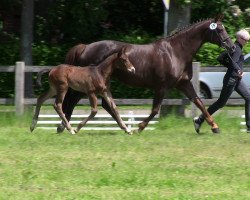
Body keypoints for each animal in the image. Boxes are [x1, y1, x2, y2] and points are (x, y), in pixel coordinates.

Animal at [60, 14, 234, 134]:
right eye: (220, 29)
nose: (232, 47)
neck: (175, 52)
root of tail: (85, 47)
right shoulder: (161, 86)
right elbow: (155, 110)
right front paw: (140, 127)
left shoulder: (183, 83)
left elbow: (199, 102)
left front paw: (213, 126)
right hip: (87, 84)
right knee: (72, 100)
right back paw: (64, 126)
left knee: (105, 105)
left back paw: (124, 128)